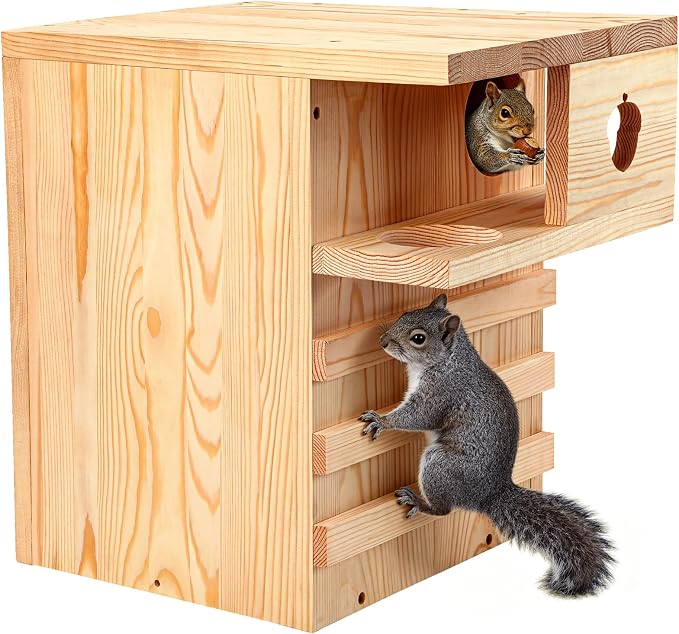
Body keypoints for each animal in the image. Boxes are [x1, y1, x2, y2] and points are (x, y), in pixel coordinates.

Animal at [360, 295, 614, 597]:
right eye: (404, 314)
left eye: (418, 338)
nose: (382, 341)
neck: (448, 360)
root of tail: (490, 493)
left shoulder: (441, 393)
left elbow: (418, 417)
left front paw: (382, 420)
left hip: (439, 465)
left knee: (443, 510)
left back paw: (419, 502)